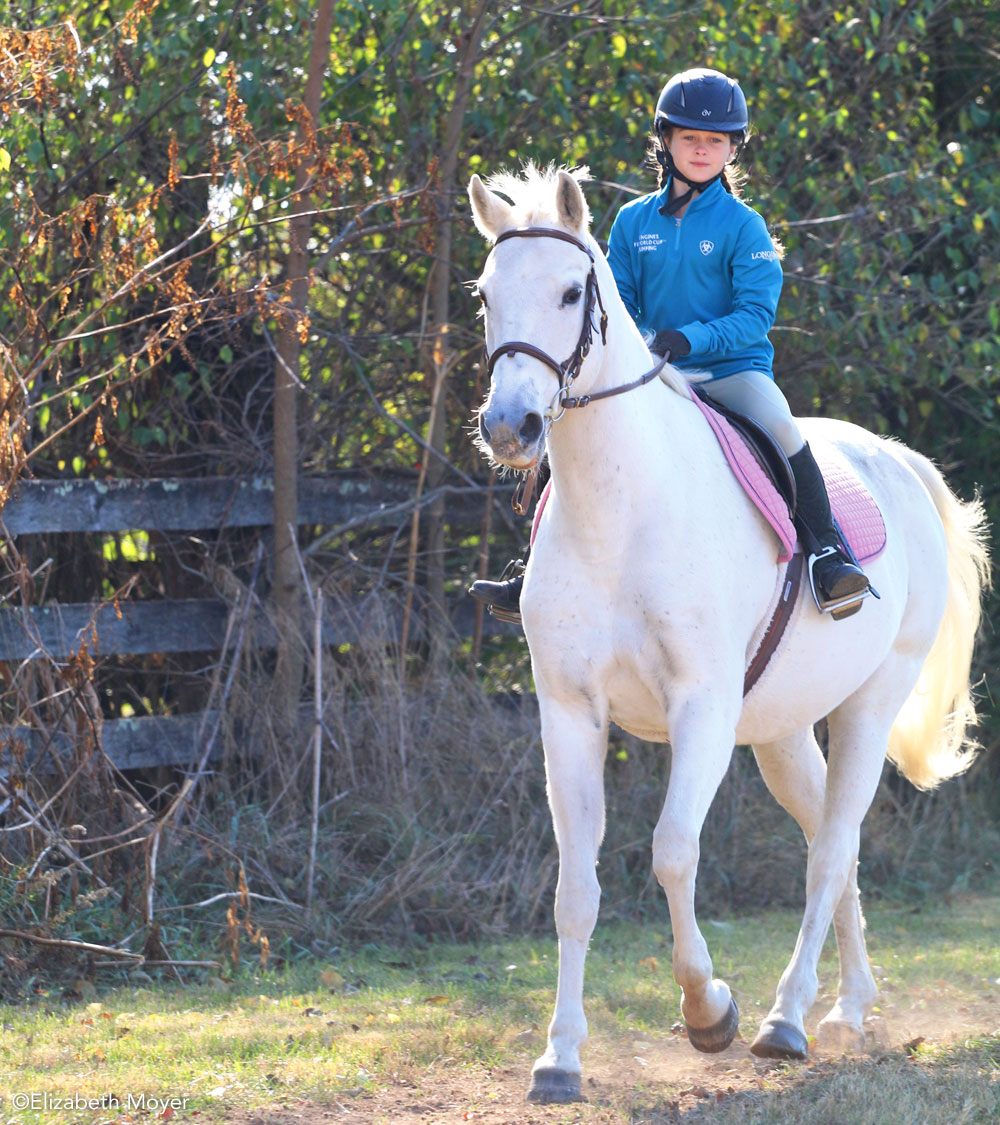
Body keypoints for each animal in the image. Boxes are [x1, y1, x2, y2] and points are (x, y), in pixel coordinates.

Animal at [463, 166, 985, 1107]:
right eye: (486, 294)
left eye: (570, 292)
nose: (509, 427)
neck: (620, 510)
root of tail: (896, 459)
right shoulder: (569, 711)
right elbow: (575, 885)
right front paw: (559, 1058)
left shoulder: (700, 709)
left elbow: (673, 852)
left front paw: (710, 1012)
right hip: (781, 732)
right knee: (835, 844)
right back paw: (847, 1010)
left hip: (867, 705)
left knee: (831, 851)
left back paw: (785, 1021)